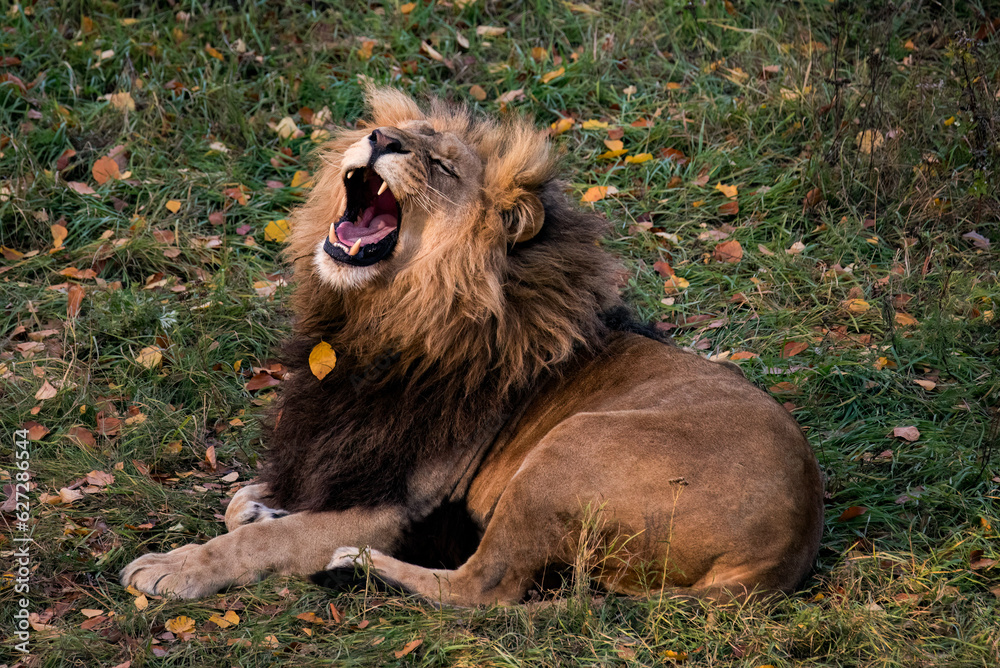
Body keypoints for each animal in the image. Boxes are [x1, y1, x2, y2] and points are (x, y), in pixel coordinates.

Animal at [119, 87, 820, 604]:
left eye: (443, 166)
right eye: (396, 131)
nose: (381, 139)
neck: (377, 318)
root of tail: (786, 551)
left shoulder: (398, 507)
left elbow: (256, 544)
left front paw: (175, 566)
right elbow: (243, 503)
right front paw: (260, 507)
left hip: (568, 450)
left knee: (486, 588)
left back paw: (358, 566)